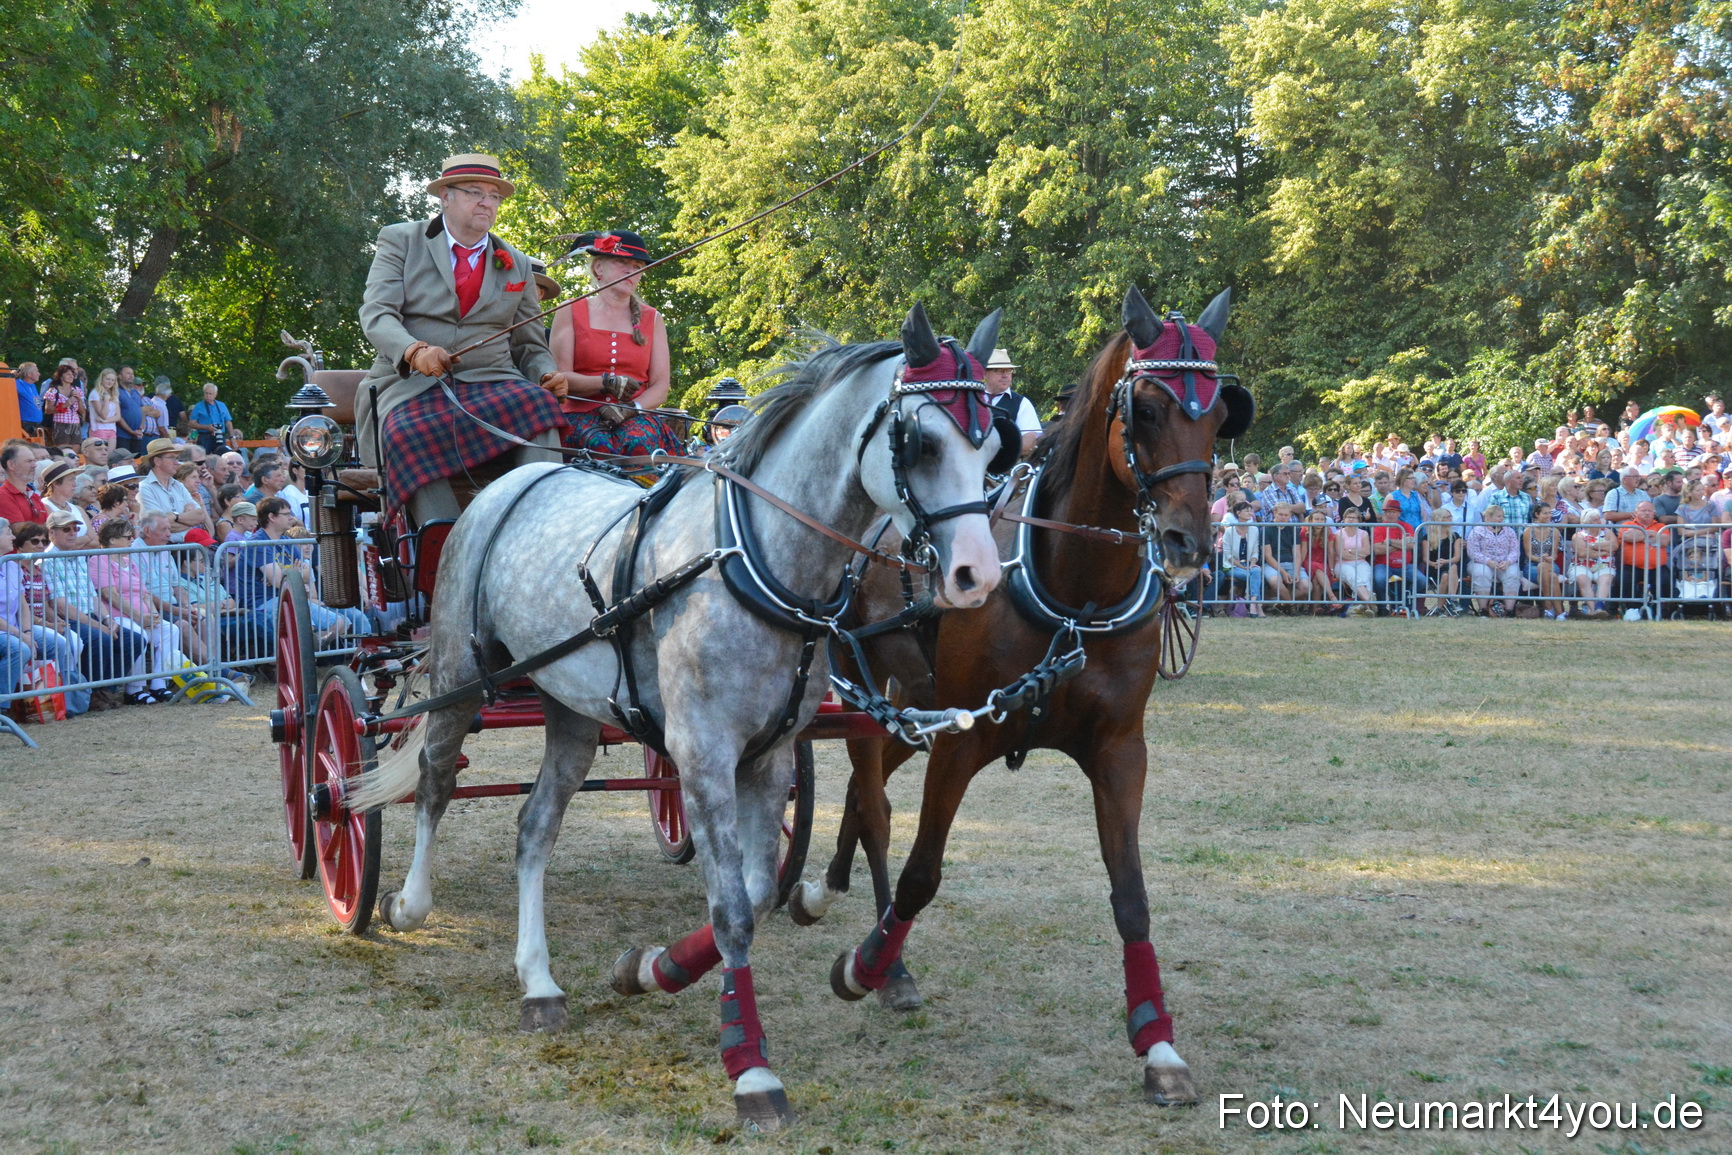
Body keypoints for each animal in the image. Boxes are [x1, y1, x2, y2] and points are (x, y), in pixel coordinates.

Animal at [345, 304, 1015, 1131]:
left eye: (992, 445)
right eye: (920, 441)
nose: (977, 575)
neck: (753, 559)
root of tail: (513, 479)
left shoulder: (768, 755)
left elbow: (756, 895)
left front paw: (653, 968)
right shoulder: (701, 752)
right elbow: (731, 909)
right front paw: (749, 1063)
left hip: (570, 710)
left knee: (533, 827)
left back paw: (538, 980)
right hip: (460, 673)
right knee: (436, 777)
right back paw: (407, 902)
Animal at [787, 285, 1252, 1106]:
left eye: (1221, 414)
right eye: (1148, 407)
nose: (1190, 542)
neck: (1073, 591)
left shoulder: (1119, 750)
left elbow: (1131, 894)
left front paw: (1159, 1044)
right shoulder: (964, 737)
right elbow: (921, 873)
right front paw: (867, 965)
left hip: (912, 711)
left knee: (862, 793)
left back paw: (835, 878)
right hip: (874, 693)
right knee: (873, 805)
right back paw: (877, 950)